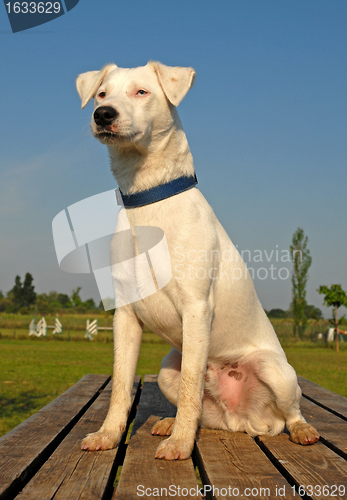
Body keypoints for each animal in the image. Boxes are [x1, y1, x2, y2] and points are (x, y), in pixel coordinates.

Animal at [77, 60, 320, 458]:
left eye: (141, 91)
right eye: (101, 94)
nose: (103, 114)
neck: (147, 201)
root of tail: (244, 419)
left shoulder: (196, 306)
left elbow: (192, 384)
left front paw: (179, 445)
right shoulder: (126, 315)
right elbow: (120, 386)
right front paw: (108, 435)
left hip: (277, 371)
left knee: (292, 411)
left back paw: (302, 430)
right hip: (166, 370)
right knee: (205, 415)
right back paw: (168, 423)